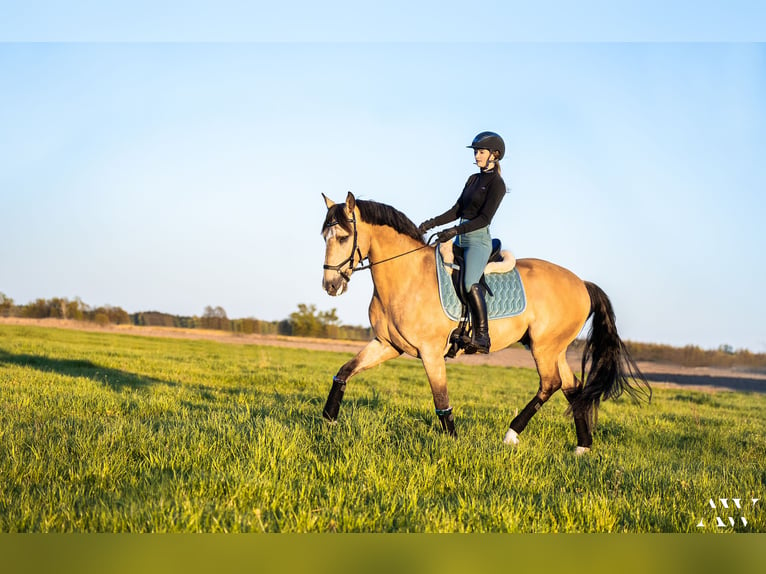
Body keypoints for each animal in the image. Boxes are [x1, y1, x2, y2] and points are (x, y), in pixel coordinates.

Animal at [318, 194, 648, 454]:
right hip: (555, 349)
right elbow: (344, 372)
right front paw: (328, 418)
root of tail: (582, 284)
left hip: (544, 346)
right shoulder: (387, 345)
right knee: (572, 387)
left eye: (344, 237)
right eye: (324, 237)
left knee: (550, 384)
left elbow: (442, 401)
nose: (330, 286)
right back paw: (582, 447)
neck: (407, 276)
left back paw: (511, 434)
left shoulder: (430, 353)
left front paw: (453, 442)